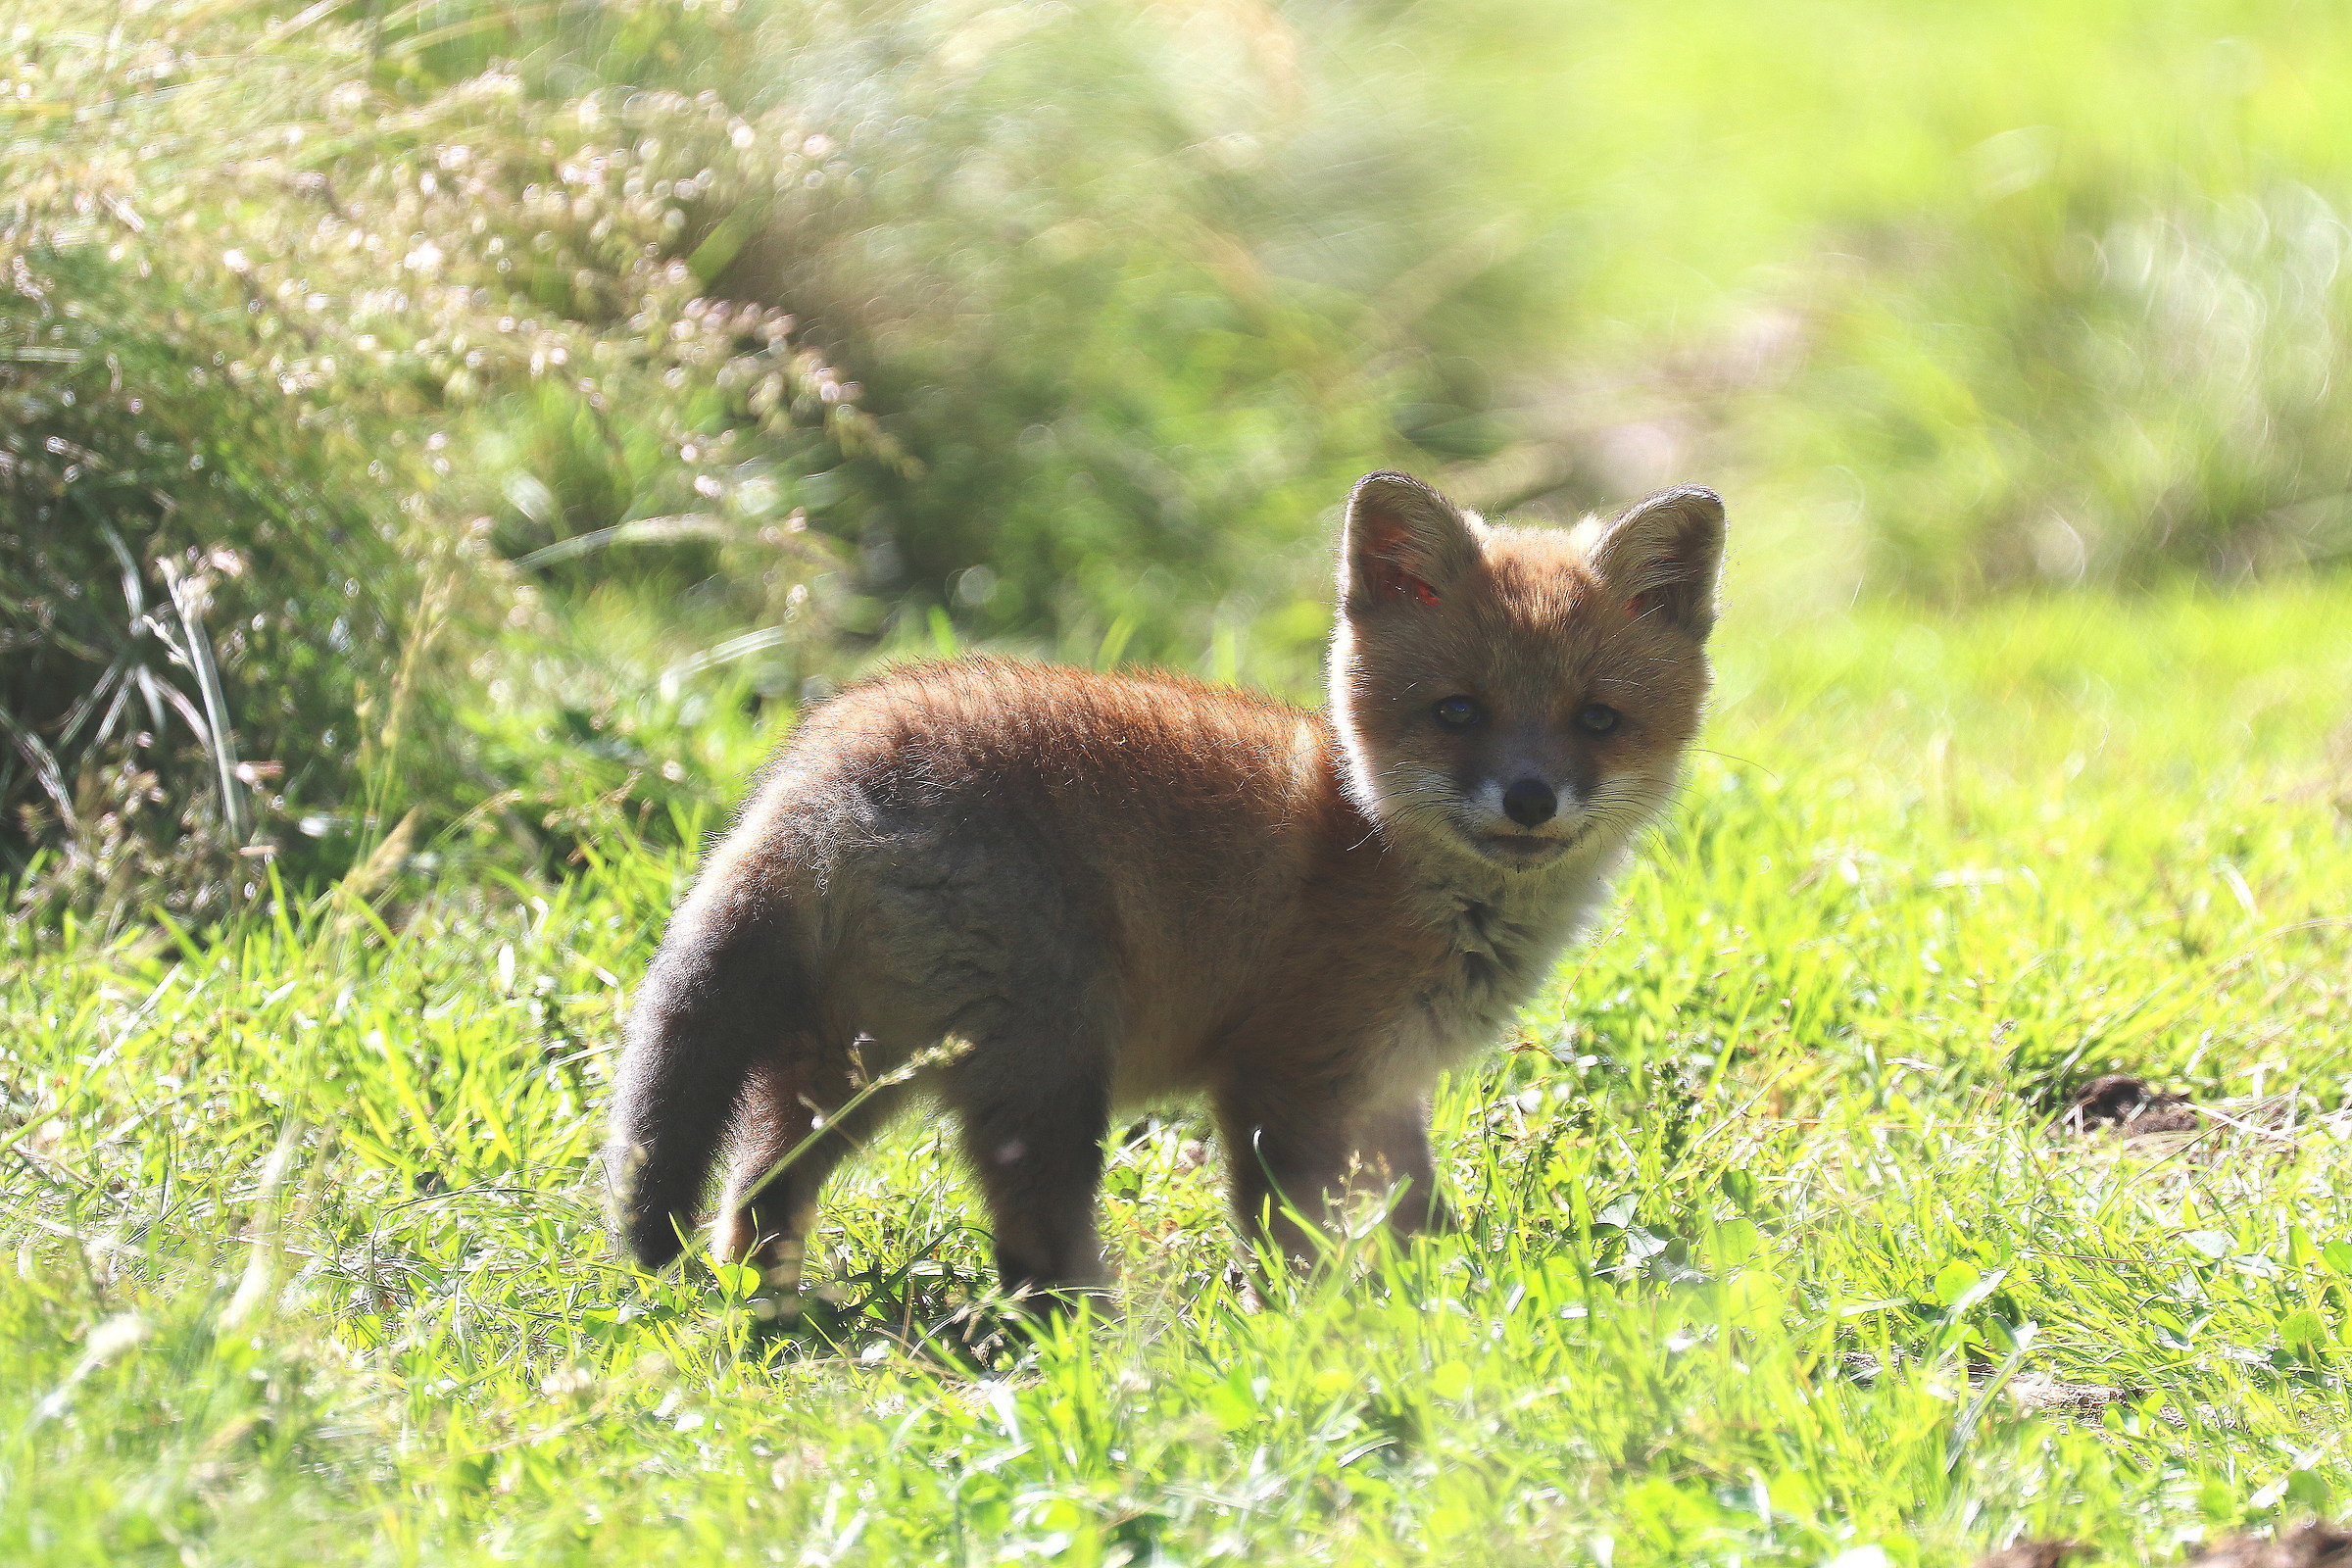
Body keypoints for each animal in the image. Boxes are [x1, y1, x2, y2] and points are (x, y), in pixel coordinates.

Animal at [605, 470, 1724, 1303]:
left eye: (1597, 719)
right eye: (1458, 711)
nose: (1529, 800)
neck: (1373, 844)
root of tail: (827, 761)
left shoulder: (1386, 1084)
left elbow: (1421, 1216)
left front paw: (1446, 1294)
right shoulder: (1282, 1075)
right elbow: (1291, 1240)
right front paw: (1315, 1326)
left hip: (843, 1074)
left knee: (751, 1204)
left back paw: (773, 1316)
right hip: (1051, 1072)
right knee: (1033, 1250)